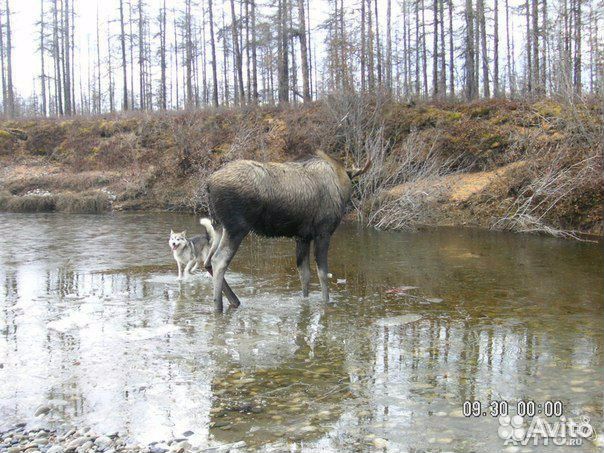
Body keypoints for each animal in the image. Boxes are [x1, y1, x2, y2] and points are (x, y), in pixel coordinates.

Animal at [205, 150, 370, 308]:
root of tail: (209, 184)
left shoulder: (303, 237)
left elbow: (304, 275)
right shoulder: (323, 232)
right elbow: (323, 274)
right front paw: (326, 302)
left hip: (219, 226)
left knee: (207, 261)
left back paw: (234, 301)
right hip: (237, 228)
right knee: (219, 261)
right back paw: (218, 306)